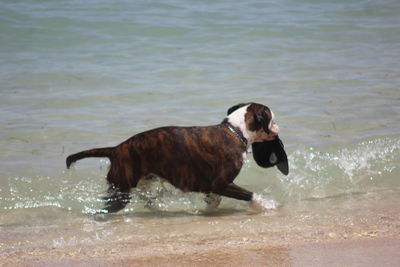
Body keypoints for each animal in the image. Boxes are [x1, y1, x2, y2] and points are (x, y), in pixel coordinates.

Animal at [67, 102, 290, 214]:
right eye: (273, 119)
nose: (279, 127)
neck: (234, 130)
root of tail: (116, 149)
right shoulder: (221, 183)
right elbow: (249, 194)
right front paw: (266, 204)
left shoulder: (212, 186)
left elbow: (214, 199)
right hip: (122, 190)